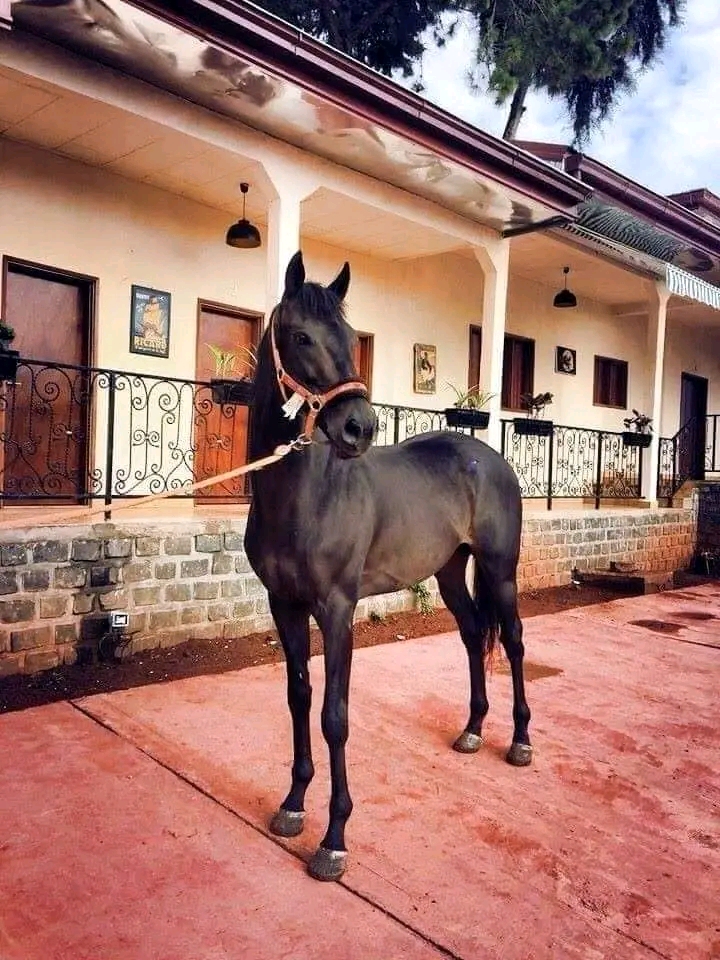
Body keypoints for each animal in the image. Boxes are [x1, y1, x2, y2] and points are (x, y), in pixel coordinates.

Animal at [244, 251, 531, 882]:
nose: (360, 428)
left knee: (514, 642)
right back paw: (473, 730)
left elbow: (334, 715)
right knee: (473, 635)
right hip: (450, 573)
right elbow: (298, 698)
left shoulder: (337, 609)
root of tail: (490, 458)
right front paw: (293, 805)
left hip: (500, 570)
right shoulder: (285, 605)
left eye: (352, 337)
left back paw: (521, 740)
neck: (304, 498)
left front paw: (334, 840)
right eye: (300, 336)